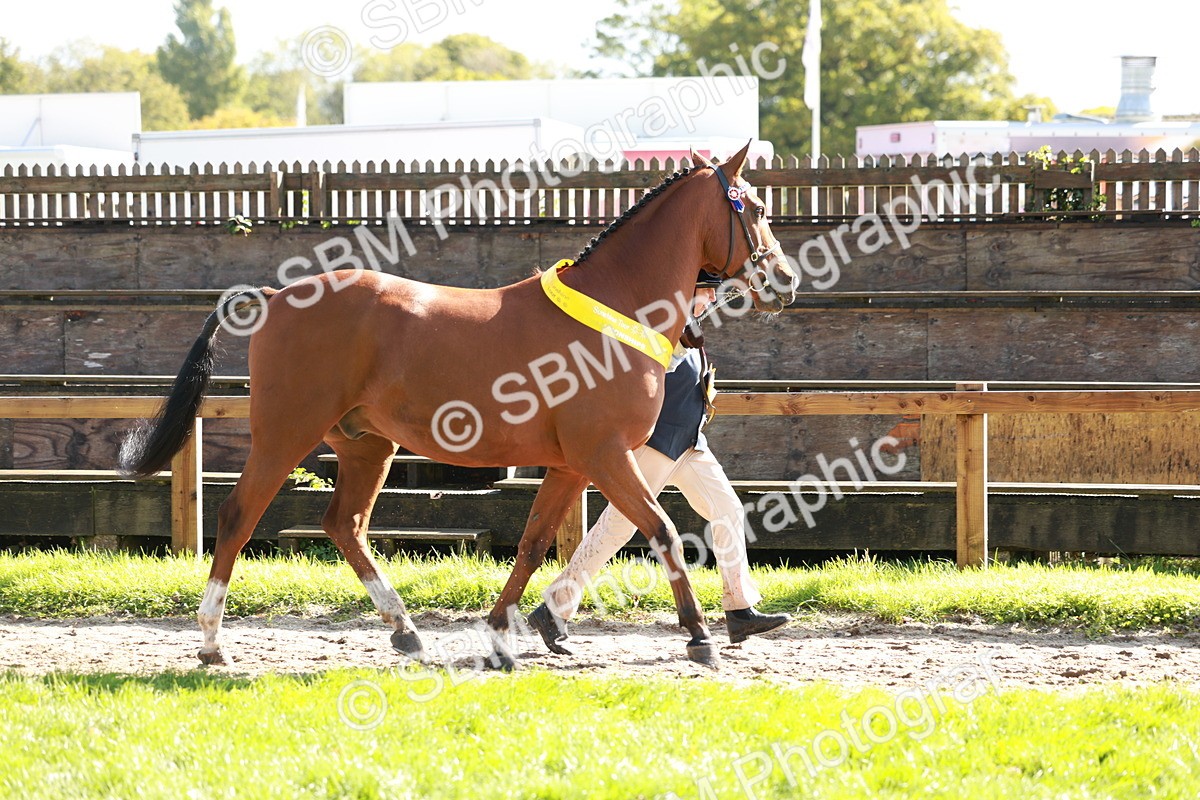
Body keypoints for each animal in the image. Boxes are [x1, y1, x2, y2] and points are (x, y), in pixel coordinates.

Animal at [119, 142, 798, 670]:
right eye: (757, 208)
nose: (786, 280)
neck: (615, 306)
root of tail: (275, 296)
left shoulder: (570, 465)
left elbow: (532, 543)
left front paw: (501, 638)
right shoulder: (605, 454)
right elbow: (662, 531)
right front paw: (700, 637)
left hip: (366, 445)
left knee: (345, 525)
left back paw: (405, 631)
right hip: (285, 434)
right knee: (238, 517)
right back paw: (212, 643)